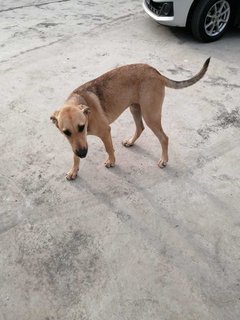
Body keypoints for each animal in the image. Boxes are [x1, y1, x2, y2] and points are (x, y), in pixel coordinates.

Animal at [51, 58, 210, 180]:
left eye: (82, 127)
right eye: (66, 132)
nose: (83, 154)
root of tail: (155, 72)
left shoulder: (105, 131)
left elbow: (109, 148)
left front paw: (111, 161)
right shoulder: (75, 143)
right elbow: (74, 156)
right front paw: (74, 170)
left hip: (150, 115)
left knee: (164, 138)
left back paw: (164, 160)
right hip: (135, 108)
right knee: (140, 128)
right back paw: (131, 142)